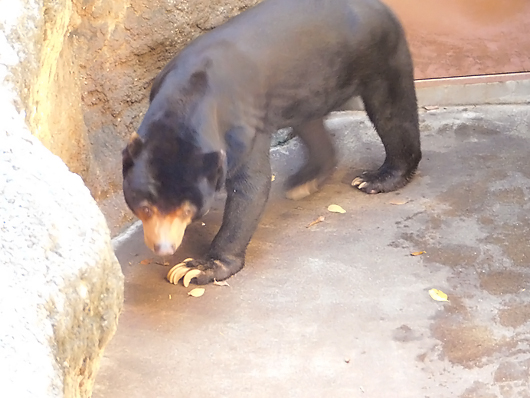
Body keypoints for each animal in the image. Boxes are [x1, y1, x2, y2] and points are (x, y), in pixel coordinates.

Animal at [121, 0, 418, 284]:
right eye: (144, 206)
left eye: (188, 210)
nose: (164, 248)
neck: (188, 97)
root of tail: (379, 5)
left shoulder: (242, 126)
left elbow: (251, 187)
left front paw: (196, 268)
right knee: (310, 123)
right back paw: (306, 181)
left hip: (377, 52)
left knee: (391, 110)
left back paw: (376, 178)